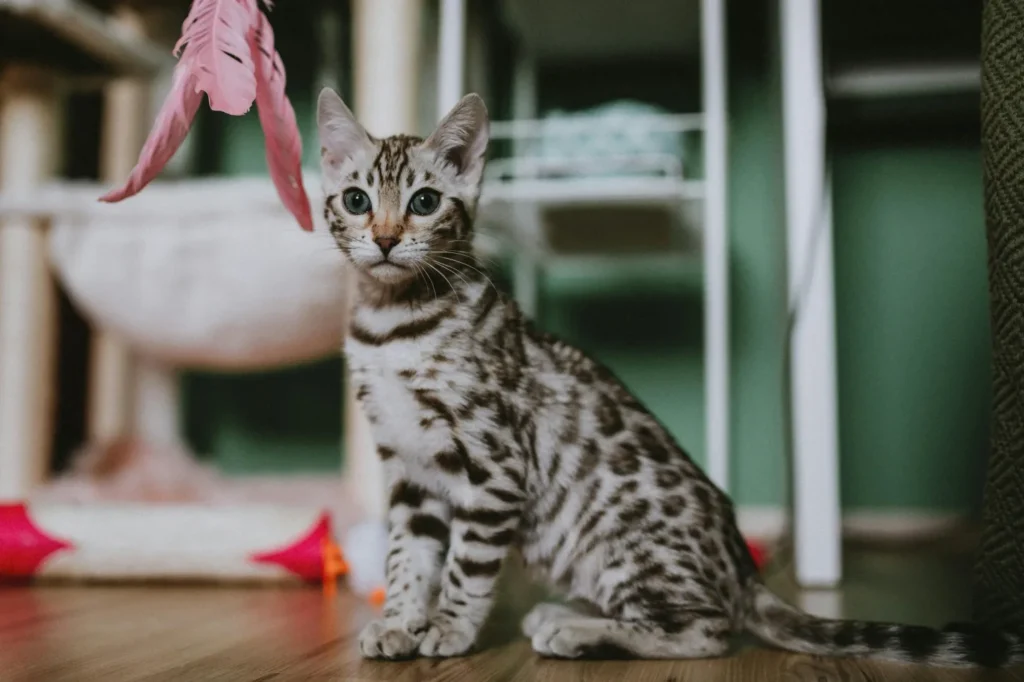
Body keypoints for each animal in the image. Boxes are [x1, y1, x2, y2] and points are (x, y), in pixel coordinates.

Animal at [315, 87, 1024, 667]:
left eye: (424, 201)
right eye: (355, 200)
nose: (384, 239)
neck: (393, 323)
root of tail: (743, 571)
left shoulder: (493, 462)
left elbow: (465, 565)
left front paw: (451, 629)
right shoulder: (409, 467)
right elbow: (409, 555)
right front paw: (399, 621)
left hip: (619, 545)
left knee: (707, 630)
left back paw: (578, 631)